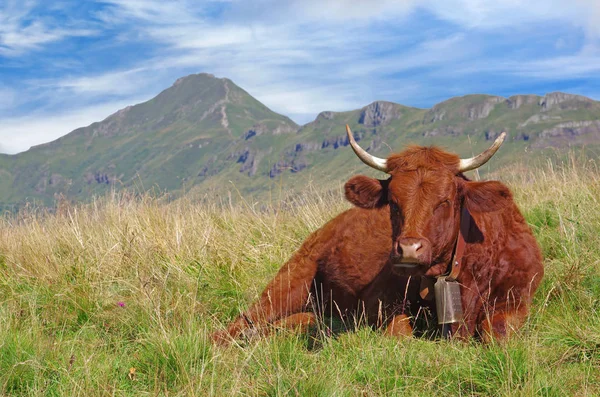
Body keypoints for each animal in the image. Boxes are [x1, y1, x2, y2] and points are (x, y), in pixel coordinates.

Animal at [214, 127, 544, 344]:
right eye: (393, 202)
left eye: (446, 201)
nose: (408, 249)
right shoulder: (376, 303)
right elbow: (401, 334)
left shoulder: (518, 297)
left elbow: (496, 331)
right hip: (290, 279)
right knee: (239, 323)